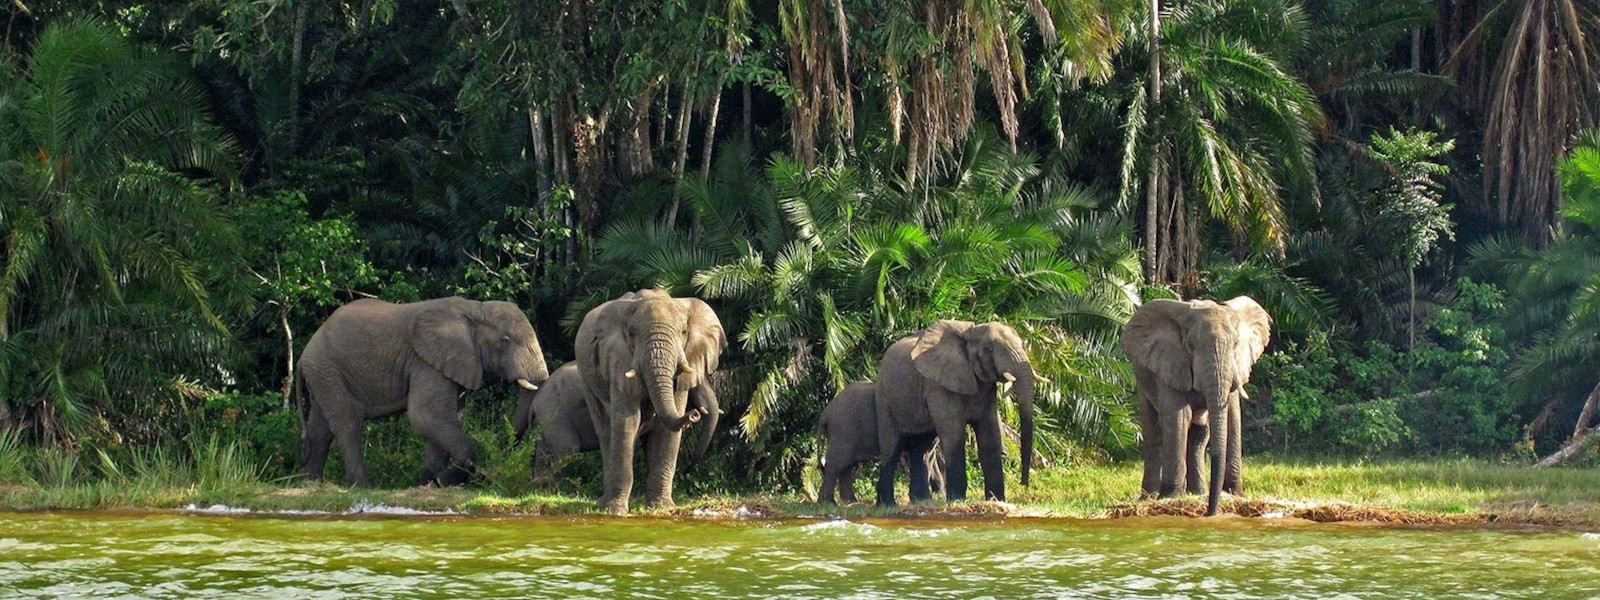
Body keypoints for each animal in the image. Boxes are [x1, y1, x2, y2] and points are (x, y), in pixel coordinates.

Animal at [296, 297, 550, 489]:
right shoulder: (425, 360)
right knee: (348, 422)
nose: (493, 473)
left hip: (323, 374)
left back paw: (309, 484)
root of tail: (302, 356)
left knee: (321, 428)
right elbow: (426, 416)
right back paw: (362, 486)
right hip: (328, 369)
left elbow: (449, 418)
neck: (475, 309)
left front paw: (431, 482)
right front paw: (445, 480)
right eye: (505, 341)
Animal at [576, 289, 726, 515]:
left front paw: (661, 508)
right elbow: (627, 422)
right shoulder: (617, 360)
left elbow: (667, 430)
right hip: (586, 379)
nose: (694, 414)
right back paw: (603, 504)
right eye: (632, 334)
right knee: (605, 431)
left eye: (683, 332)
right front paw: (615, 512)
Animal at [870, 320, 1043, 508]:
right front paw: (957, 500)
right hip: (884, 396)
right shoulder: (939, 385)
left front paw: (996, 500)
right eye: (989, 348)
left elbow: (990, 438)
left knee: (922, 449)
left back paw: (921, 500)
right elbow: (954, 437)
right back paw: (887, 505)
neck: (968, 334)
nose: (1024, 484)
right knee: (891, 447)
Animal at [1126, 296, 1273, 518]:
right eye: (1190, 345)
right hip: (1142, 379)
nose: (1209, 513)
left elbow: (1232, 416)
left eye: (1235, 344)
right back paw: (1149, 497)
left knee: (1199, 435)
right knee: (1154, 431)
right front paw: (1171, 497)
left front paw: (1236, 494)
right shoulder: (1171, 361)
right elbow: (1179, 417)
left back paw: (1198, 493)